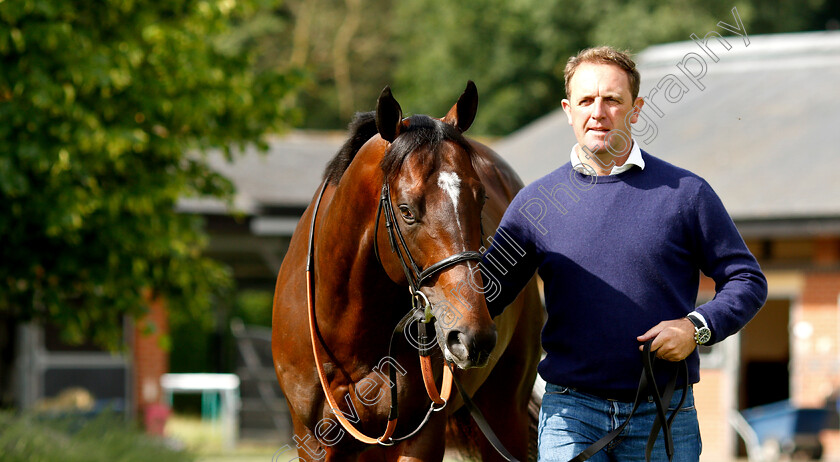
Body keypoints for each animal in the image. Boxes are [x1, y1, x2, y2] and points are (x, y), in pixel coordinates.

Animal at [272, 81, 540, 460]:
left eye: (481, 199)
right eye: (406, 210)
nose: (471, 336)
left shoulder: (421, 436)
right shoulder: (314, 441)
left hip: (504, 413)